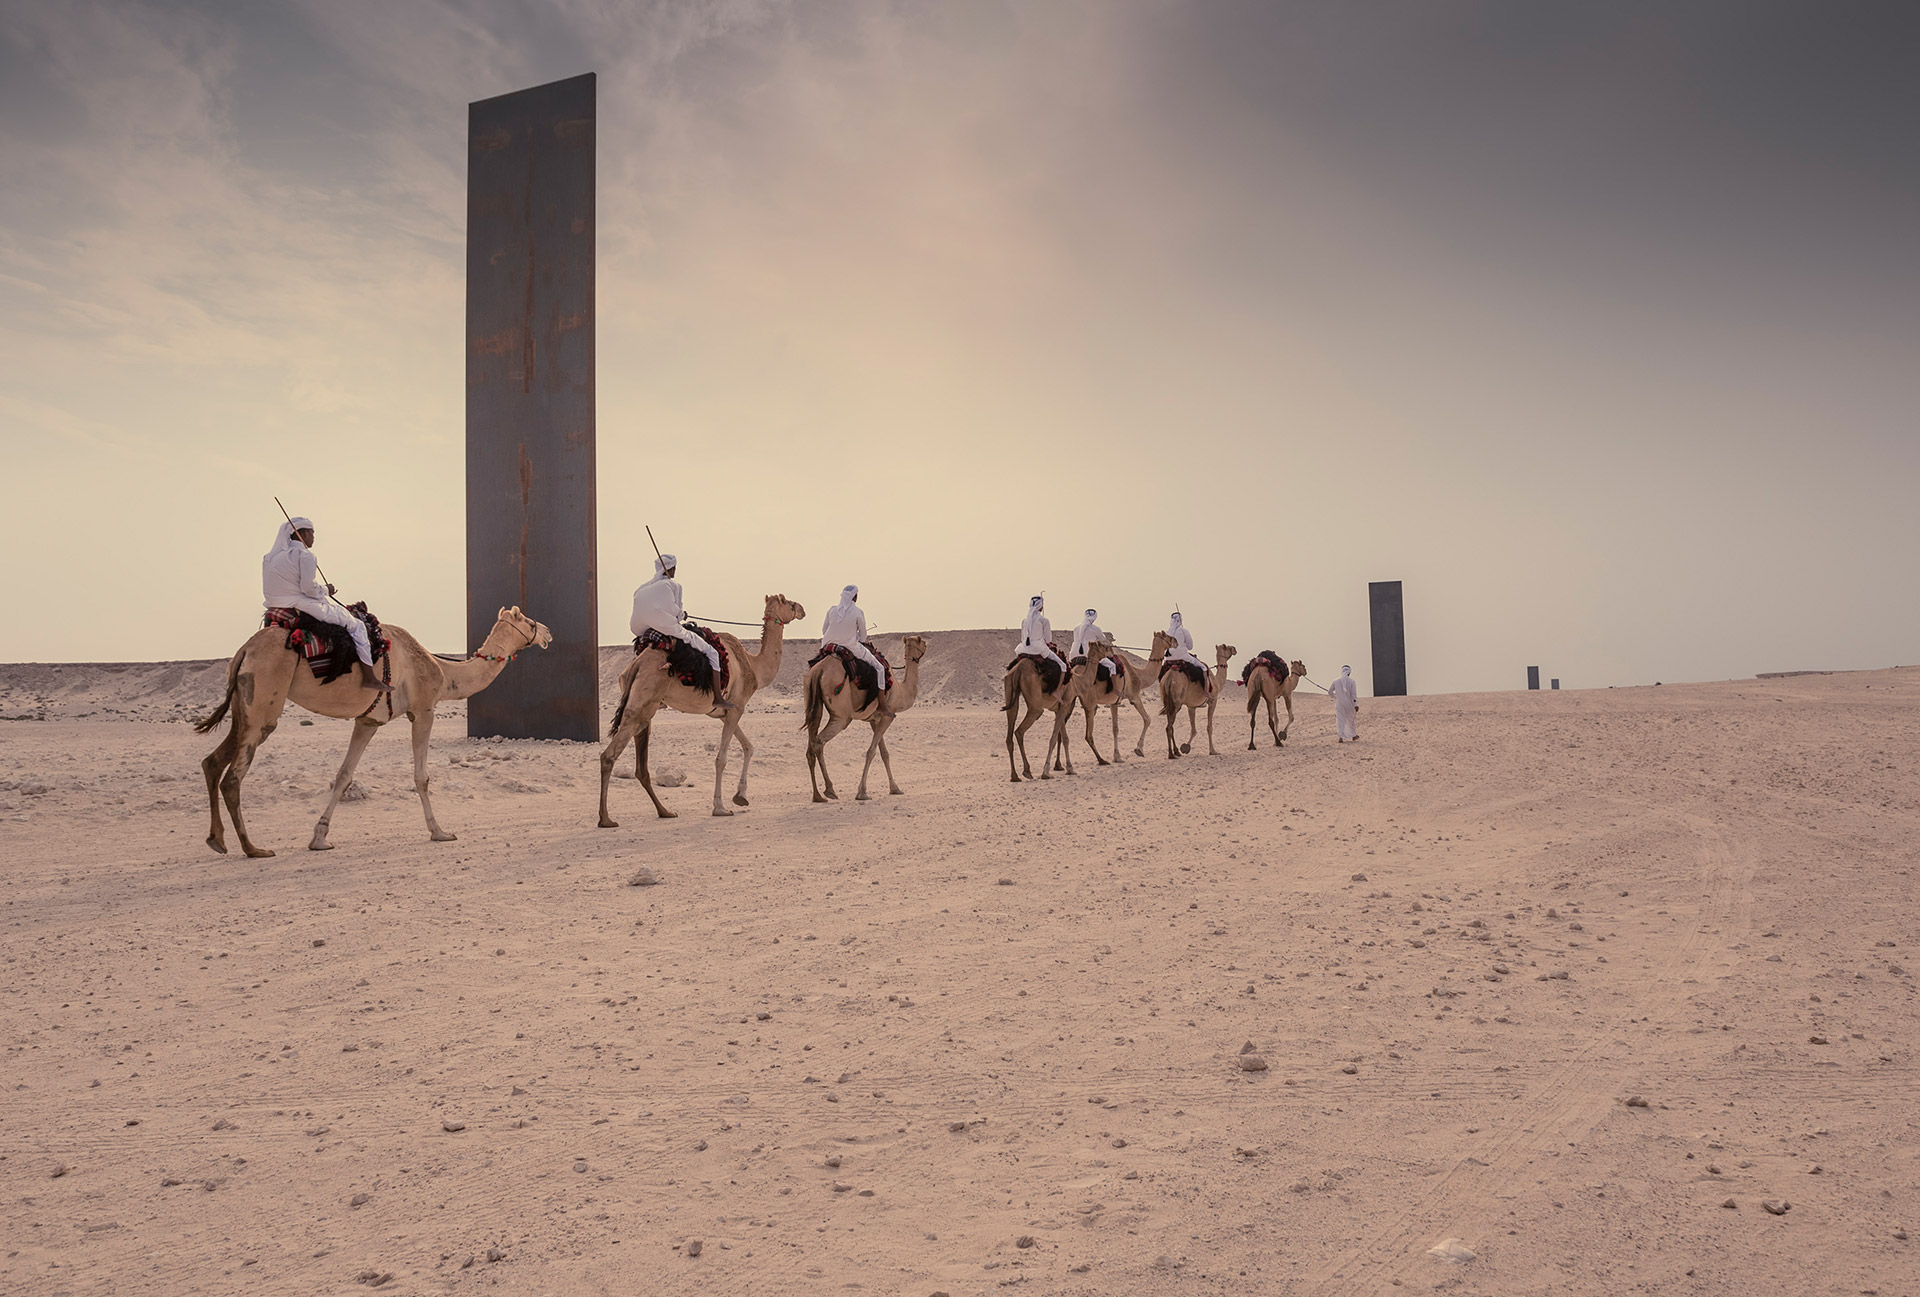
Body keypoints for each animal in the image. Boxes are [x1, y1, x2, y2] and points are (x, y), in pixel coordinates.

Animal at [195, 602, 552, 855]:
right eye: (527, 620)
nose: (547, 632)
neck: (444, 672)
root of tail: (244, 651)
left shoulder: (368, 721)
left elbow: (343, 776)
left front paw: (319, 838)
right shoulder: (424, 710)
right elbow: (421, 777)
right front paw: (440, 832)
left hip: (243, 706)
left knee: (212, 762)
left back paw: (218, 840)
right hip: (263, 705)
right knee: (233, 777)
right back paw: (252, 848)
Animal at [591, 594, 802, 825]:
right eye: (790, 603)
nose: (802, 609)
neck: (753, 666)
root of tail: (636, 665)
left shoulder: (724, 713)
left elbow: (749, 747)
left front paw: (741, 797)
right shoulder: (737, 708)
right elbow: (721, 759)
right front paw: (720, 807)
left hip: (643, 709)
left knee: (640, 765)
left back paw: (664, 811)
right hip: (640, 706)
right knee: (609, 756)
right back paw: (606, 819)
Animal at [802, 636, 929, 805]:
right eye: (922, 642)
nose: (927, 644)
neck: (900, 690)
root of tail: (818, 670)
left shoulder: (874, 720)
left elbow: (884, 753)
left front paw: (895, 788)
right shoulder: (887, 716)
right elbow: (871, 752)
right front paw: (862, 792)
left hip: (812, 703)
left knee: (810, 745)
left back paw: (817, 796)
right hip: (842, 716)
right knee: (818, 742)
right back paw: (830, 789)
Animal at [1006, 644, 1082, 778]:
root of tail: (1018, 669)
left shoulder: (1059, 709)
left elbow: (1064, 738)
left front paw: (1069, 768)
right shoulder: (1065, 705)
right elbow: (1054, 738)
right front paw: (1046, 771)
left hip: (1010, 687)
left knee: (1010, 727)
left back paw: (1014, 776)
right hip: (1035, 703)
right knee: (1020, 730)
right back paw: (1027, 771)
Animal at [1075, 633, 1159, 763]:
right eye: (1170, 638)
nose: (1110, 652)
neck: (1137, 673)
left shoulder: (1114, 702)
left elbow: (1115, 728)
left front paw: (1117, 756)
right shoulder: (1134, 696)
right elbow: (1147, 719)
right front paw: (1138, 750)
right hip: (1089, 704)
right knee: (1086, 734)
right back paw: (1100, 760)